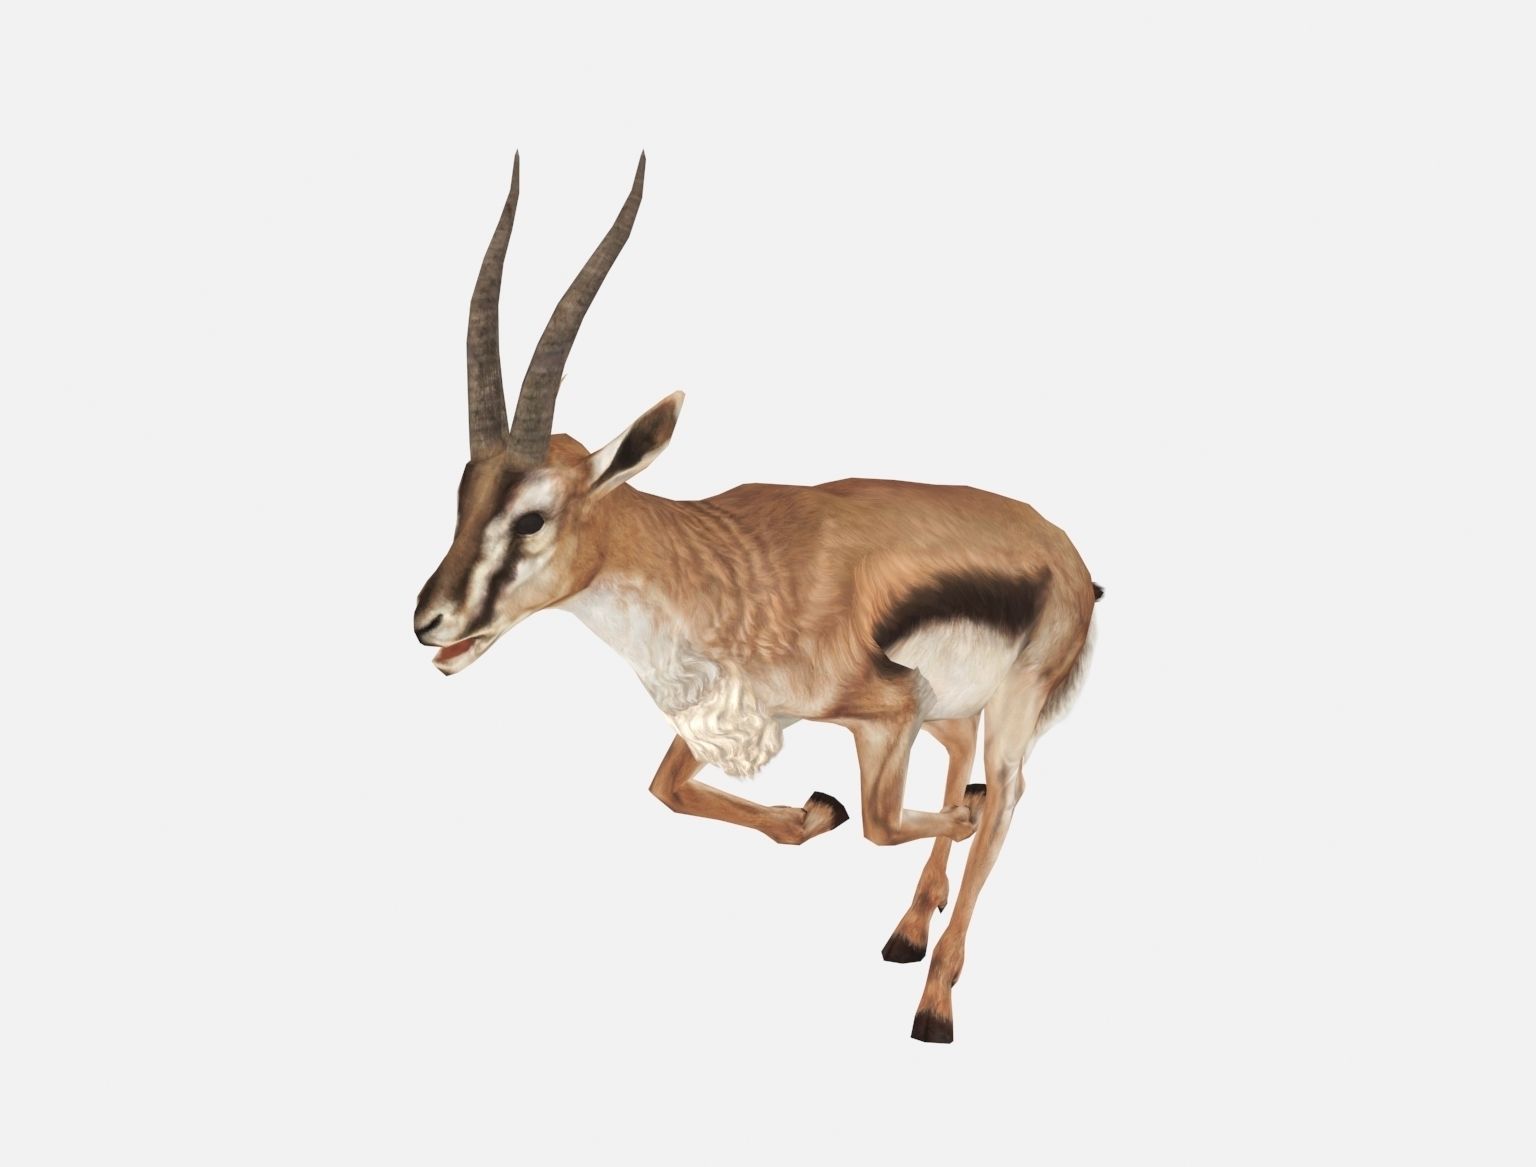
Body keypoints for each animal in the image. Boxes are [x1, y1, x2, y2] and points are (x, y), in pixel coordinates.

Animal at [414, 154, 1102, 1043]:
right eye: (463, 496)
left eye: (532, 515)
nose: (430, 621)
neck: (722, 568)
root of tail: (1070, 554)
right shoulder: (743, 713)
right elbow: (667, 789)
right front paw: (814, 812)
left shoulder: (883, 712)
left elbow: (879, 822)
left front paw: (866, 816)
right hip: (952, 706)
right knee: (964, 763)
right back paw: (911, 928)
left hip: (1009, 708)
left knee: (1007, 796)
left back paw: (936, 997)